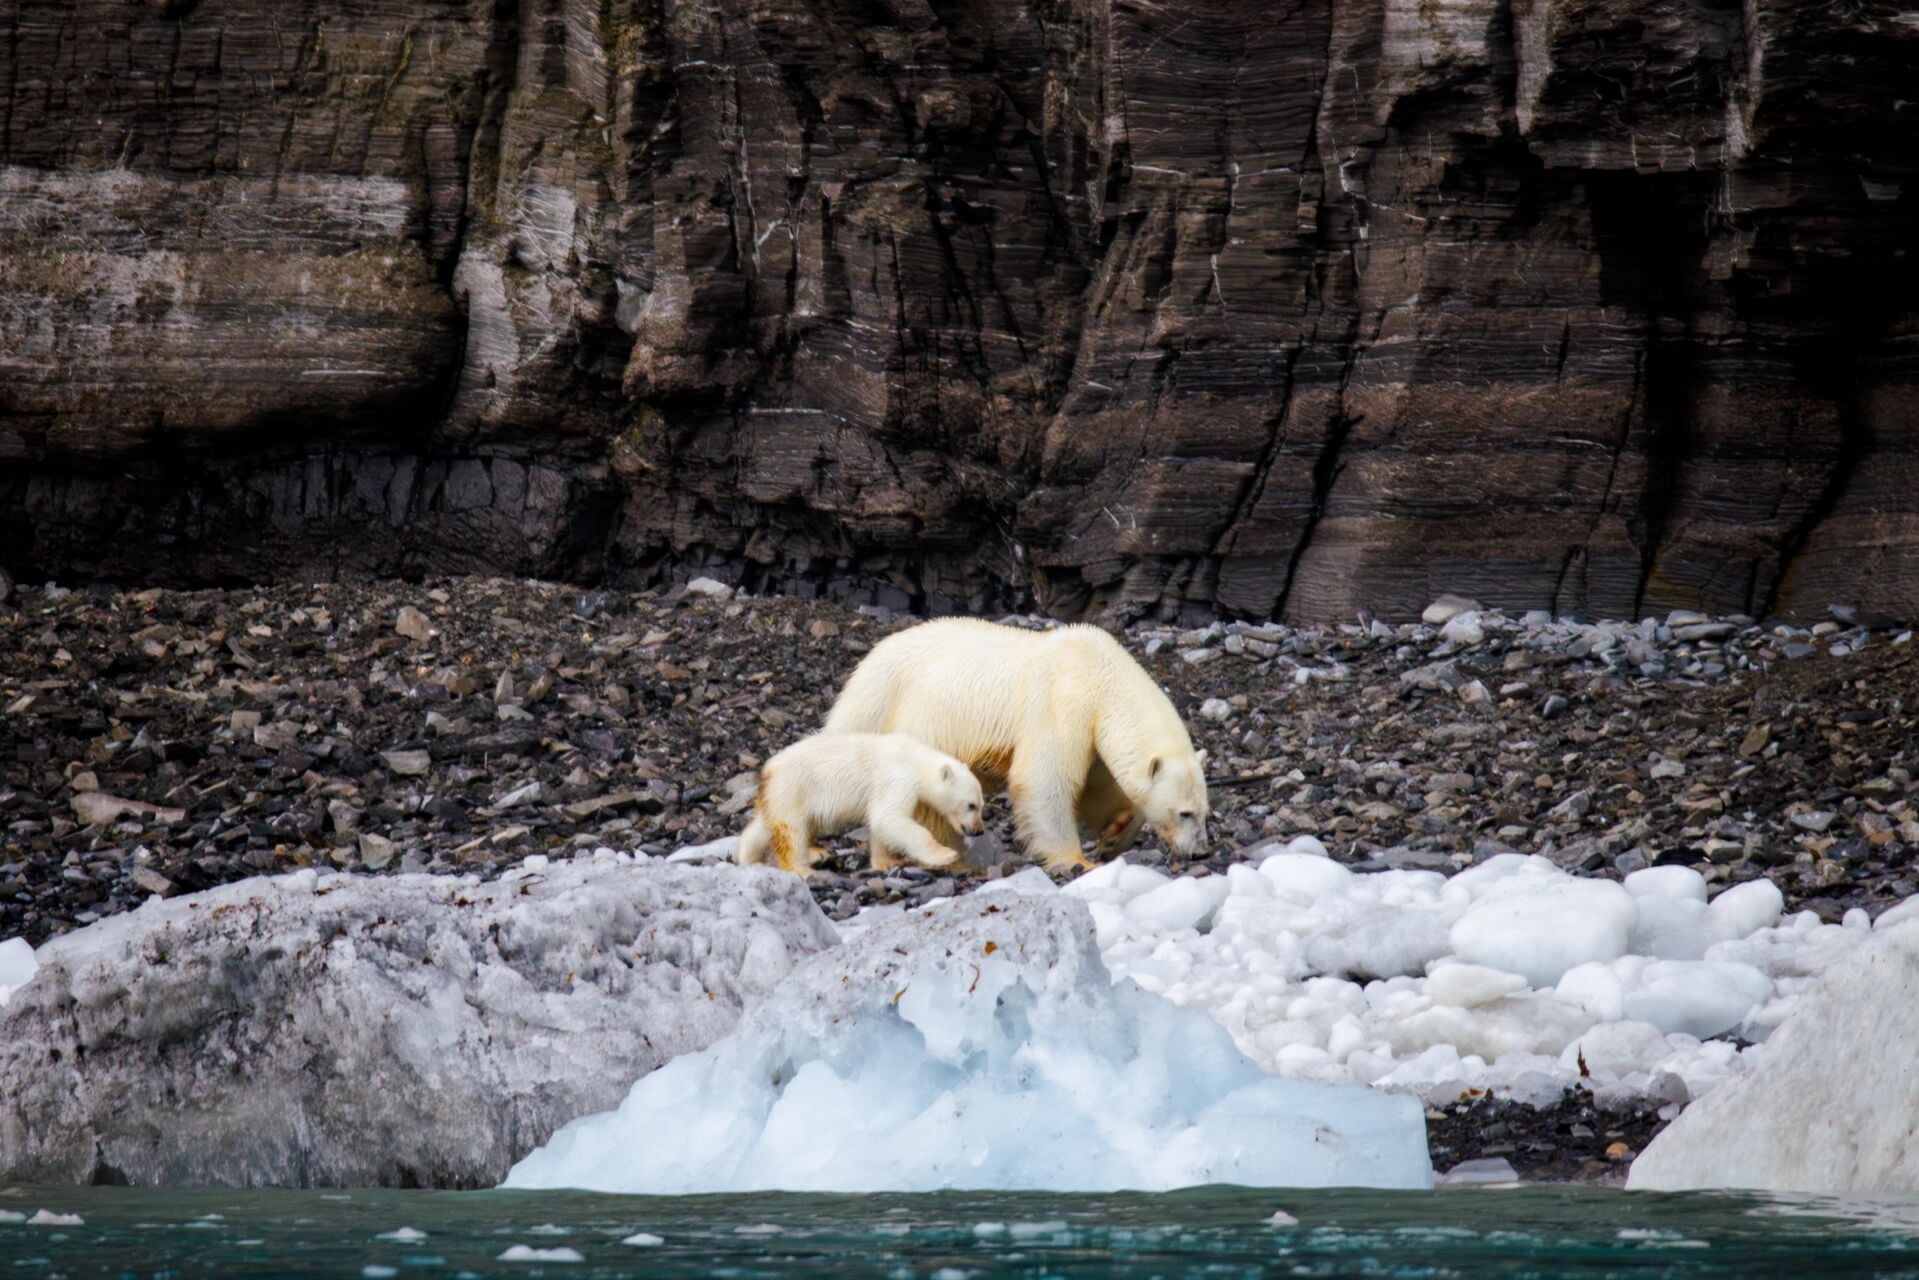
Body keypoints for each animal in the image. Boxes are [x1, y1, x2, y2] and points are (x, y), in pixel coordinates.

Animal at [737, 731, 986, 875]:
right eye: (971, 805)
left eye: (981, 804)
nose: (978, 830)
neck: (914, 757)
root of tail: (768, 771)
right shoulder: (895, 777)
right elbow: (888, 816)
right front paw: (944, 854)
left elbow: (880, 824)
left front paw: (886, 863)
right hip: (794, 788)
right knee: (791, 830)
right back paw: (801, 868)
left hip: (779, 796)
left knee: (765, 828)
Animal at [821, 618, 1210, 872]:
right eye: (1184, 813)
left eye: (1203, 811)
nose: (1200, 853)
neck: (1101, 674)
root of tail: (873, 658)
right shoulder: (1063, 703)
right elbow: (1045, 779)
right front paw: (1077, 860)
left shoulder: (1094, 730)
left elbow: (1099, 787)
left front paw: (1116, 832)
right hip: (900, 708)